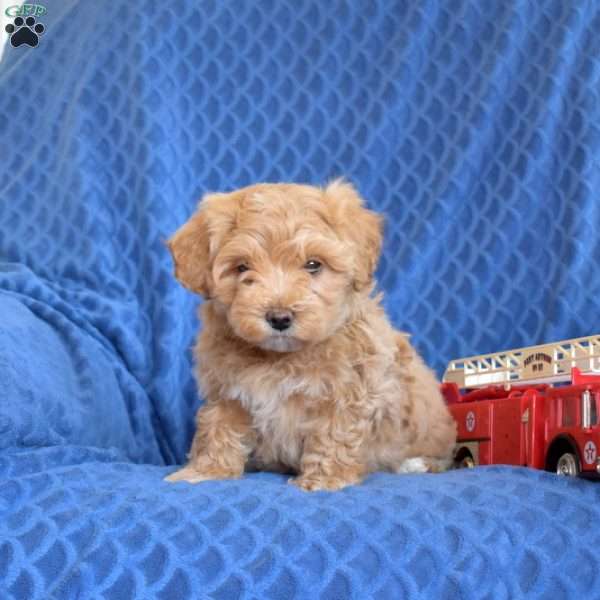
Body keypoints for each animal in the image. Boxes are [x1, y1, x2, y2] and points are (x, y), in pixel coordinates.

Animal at [164, 180, 454, 490]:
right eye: (242, 267)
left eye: (313, 265)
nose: (279, 318)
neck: (279, 357)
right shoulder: (227, 391)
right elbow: (217, 427)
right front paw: (205, 471)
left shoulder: (348, 391)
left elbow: (334, 433)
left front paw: (323, 479)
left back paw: (415, 464)